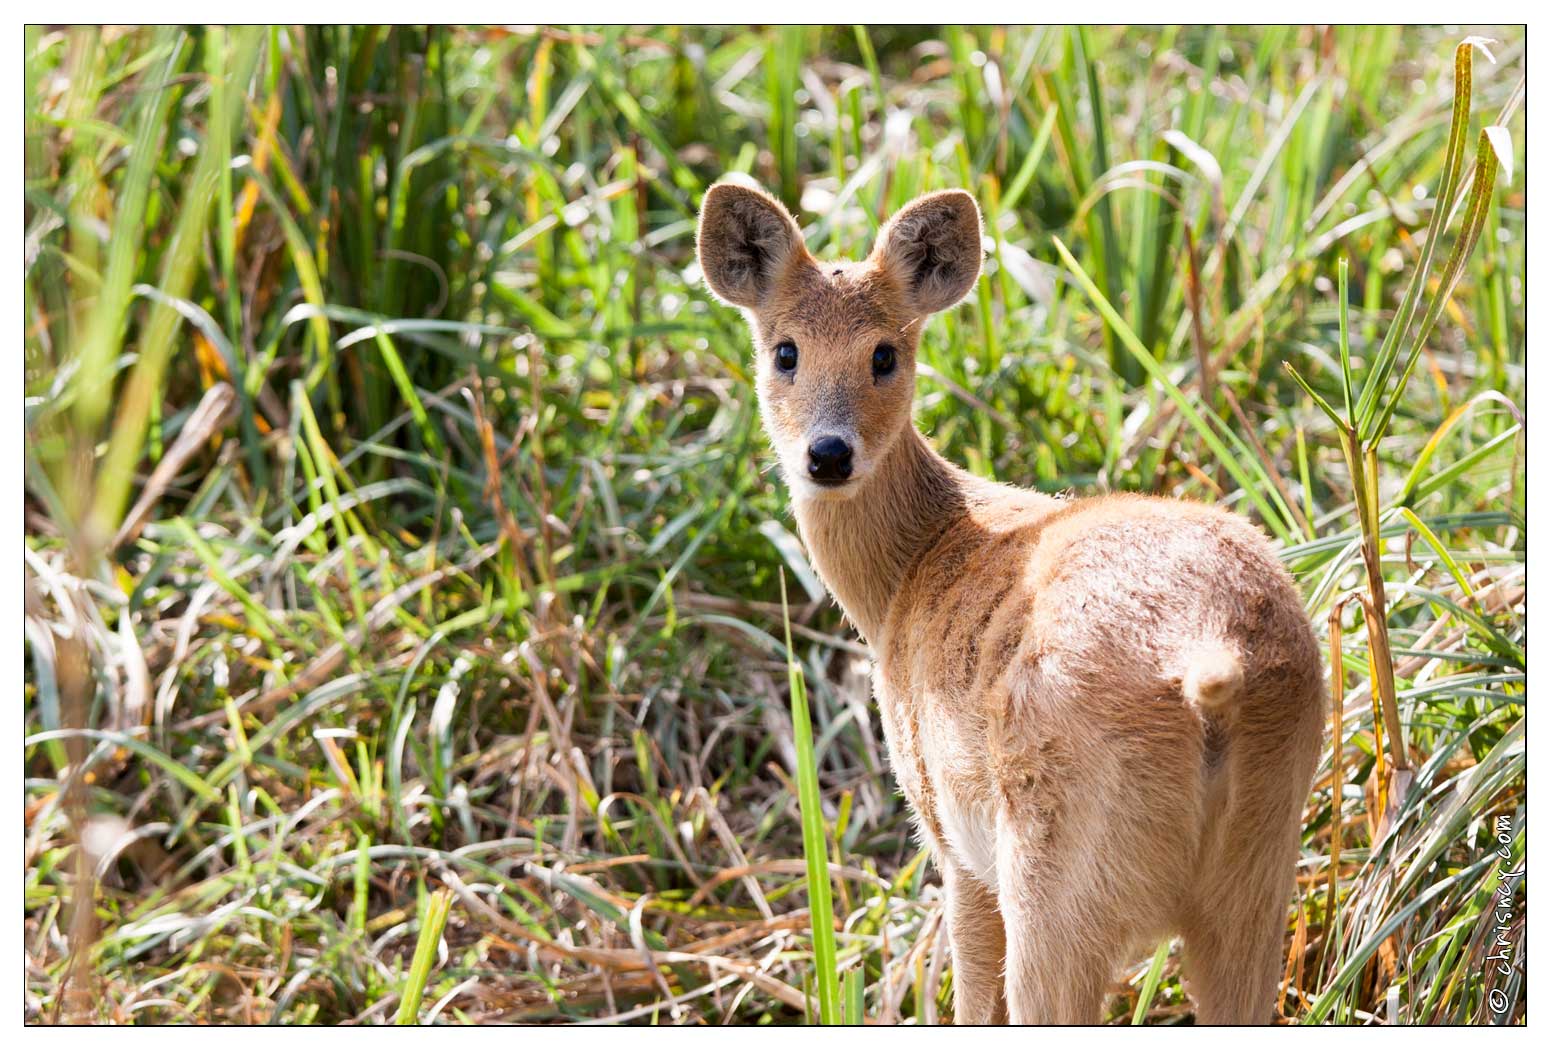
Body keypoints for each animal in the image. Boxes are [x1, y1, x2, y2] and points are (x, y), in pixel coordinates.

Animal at [701, 176, 1321, 1023]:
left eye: (885, 353)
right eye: (783, 351)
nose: (826, 454)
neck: (909, 572)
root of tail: (1212, 656)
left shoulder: (949, 834)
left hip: (1055, 880)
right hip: (1258, 875)